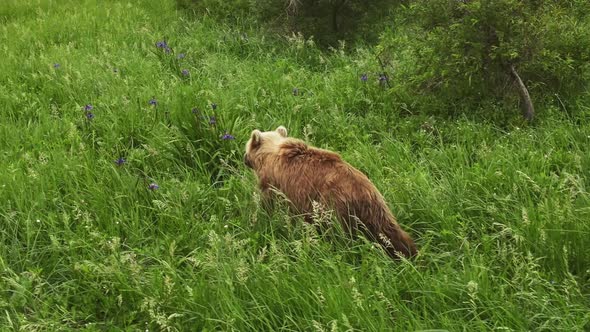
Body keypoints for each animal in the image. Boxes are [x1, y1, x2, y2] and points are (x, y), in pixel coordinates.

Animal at [243, 126, 418, 258]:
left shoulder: (279, 186)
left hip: (334, 206)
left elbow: (274, 206)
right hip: (377, 209)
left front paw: (265, 217)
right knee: (390, 232)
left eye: (247, 146)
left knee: (338, 234)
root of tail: (364, 191)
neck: (270, 154)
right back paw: (407, 252)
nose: (244, 158)